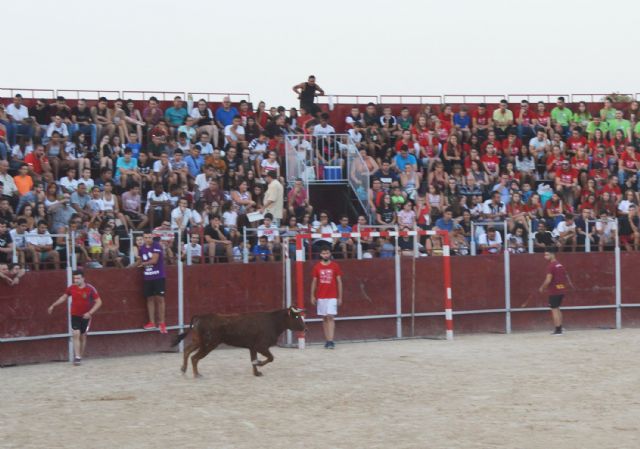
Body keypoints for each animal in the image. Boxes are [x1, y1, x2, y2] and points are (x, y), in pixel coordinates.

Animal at [171, 306, 306, 376]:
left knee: (187, 351)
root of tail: (201, 316)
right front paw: (258, 364)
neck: (273, 322)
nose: (306, 328)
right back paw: (197, 374)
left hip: (200, 341)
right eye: (297, 317)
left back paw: (183, 369)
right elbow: (271, 358)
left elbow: (254, 359)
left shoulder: (253, 347)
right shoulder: (261, 346)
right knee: (194, 357)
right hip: (209, 344)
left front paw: (256, 372)